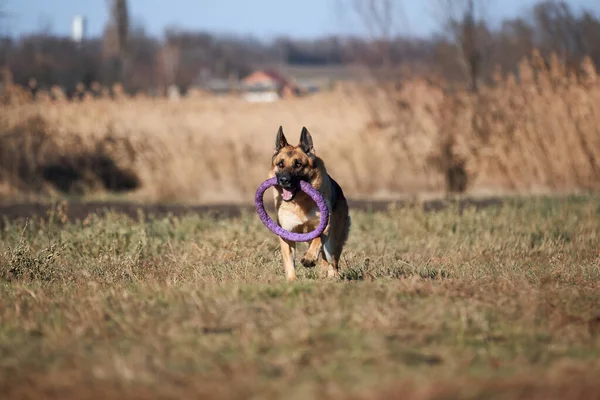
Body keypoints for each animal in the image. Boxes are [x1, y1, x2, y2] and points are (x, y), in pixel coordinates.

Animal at [268, 125, 350, 282]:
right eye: (280, 164)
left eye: (298, 164)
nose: (284, 180)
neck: (300, 202)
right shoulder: (286, 234)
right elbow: (289, 262)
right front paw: (292, 280)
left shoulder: (324, 226)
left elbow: (318, 240)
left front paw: (309, 258)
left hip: (334, 240)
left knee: (332, 259)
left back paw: (332, 276)